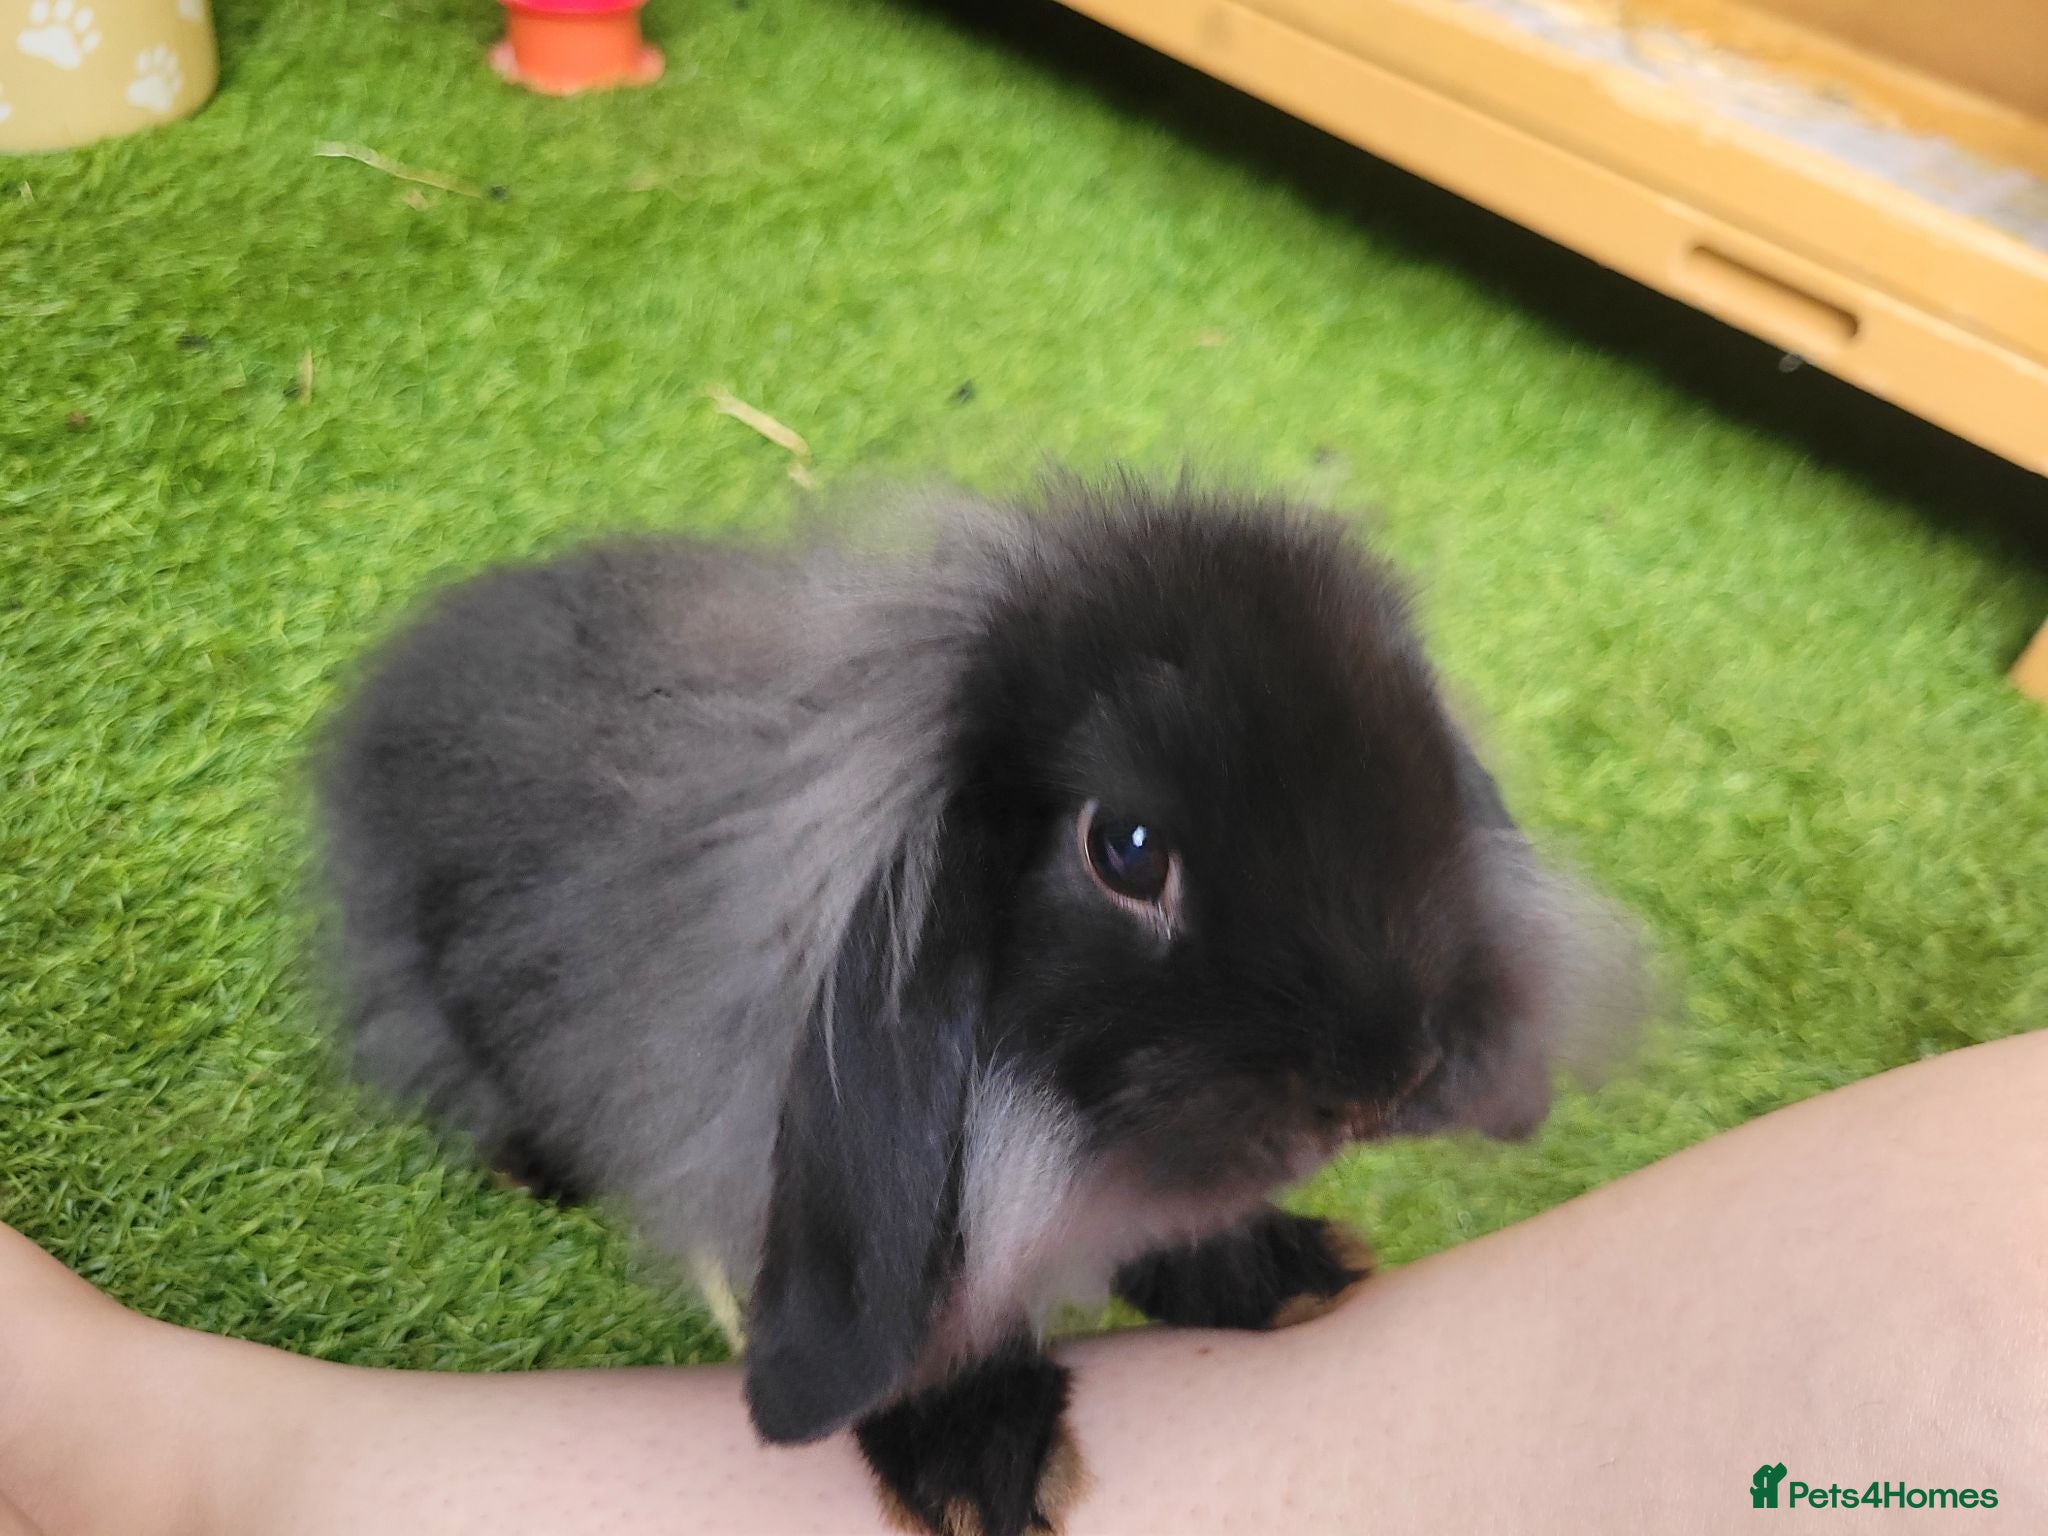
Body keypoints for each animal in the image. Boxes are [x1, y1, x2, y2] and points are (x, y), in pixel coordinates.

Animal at [317, 478, 1648, 1536]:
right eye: (1125, 850)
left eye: (1416, 768)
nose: (1378, 1079)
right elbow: (935, 1320)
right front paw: (981, 1475)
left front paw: (1294, 1272)